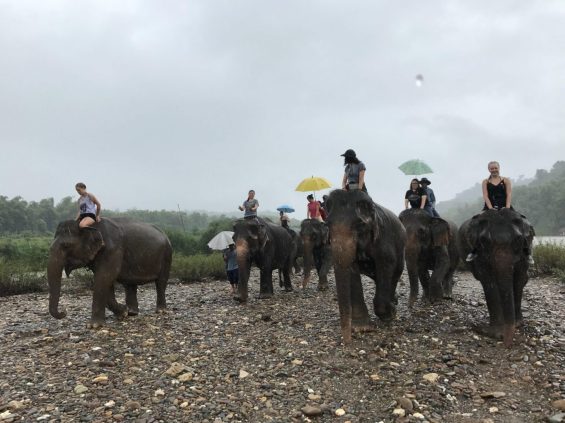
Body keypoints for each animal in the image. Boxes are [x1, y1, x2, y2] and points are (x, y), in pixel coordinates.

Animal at [324, 189, 408, 344]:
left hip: (401, 247)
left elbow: (386, 265)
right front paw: (361, 328)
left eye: (359, 225)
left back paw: (393, 303)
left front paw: (390, 314)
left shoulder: (383, 239)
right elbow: (352, 268)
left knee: (395, 272)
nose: (347, 341)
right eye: (327, 224)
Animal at [458, 209, 532, 348]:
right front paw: (497, 333)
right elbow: (488, 281)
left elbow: (519, 278)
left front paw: (518, 324)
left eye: (519, 240)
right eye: (484, 241)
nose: (506, 344)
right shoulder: (479, 253)